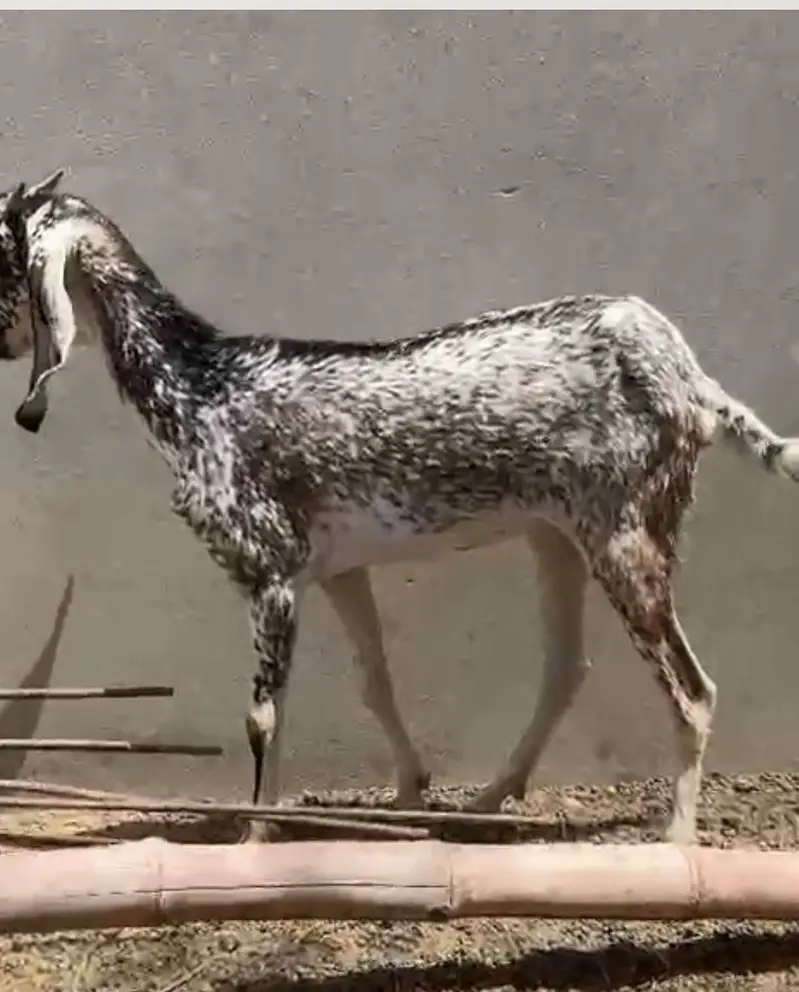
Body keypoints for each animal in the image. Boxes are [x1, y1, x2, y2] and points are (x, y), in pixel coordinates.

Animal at [1, 171, 798, 845]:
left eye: (3, 260)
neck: (203, 386)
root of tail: (690, 379)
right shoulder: (335, 571)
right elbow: (374, 684)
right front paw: (410, 797)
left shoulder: (267, 572)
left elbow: (262, 717)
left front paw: (253, 839)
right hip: (558, 538)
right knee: (566, 668)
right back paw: (484, 804)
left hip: (629, 534)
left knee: (692, 691)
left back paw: (674, 840)